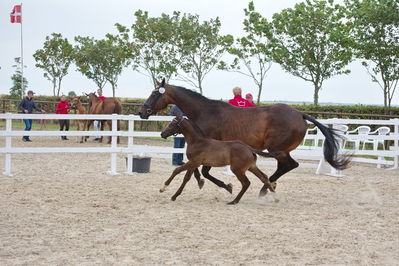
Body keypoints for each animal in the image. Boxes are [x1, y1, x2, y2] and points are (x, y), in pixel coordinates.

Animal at [140, 78, 350, 196]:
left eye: (154, 94)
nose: (142, 112)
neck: (206, 111)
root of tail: (300, 114)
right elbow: (196, 169)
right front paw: (205, 182)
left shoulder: (209, 148)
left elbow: (203, 171)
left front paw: (224, 186)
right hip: (279, 150)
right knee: (285, 166)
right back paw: (268, 185)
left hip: (277, 148)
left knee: (289, 165)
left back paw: (266, 188)